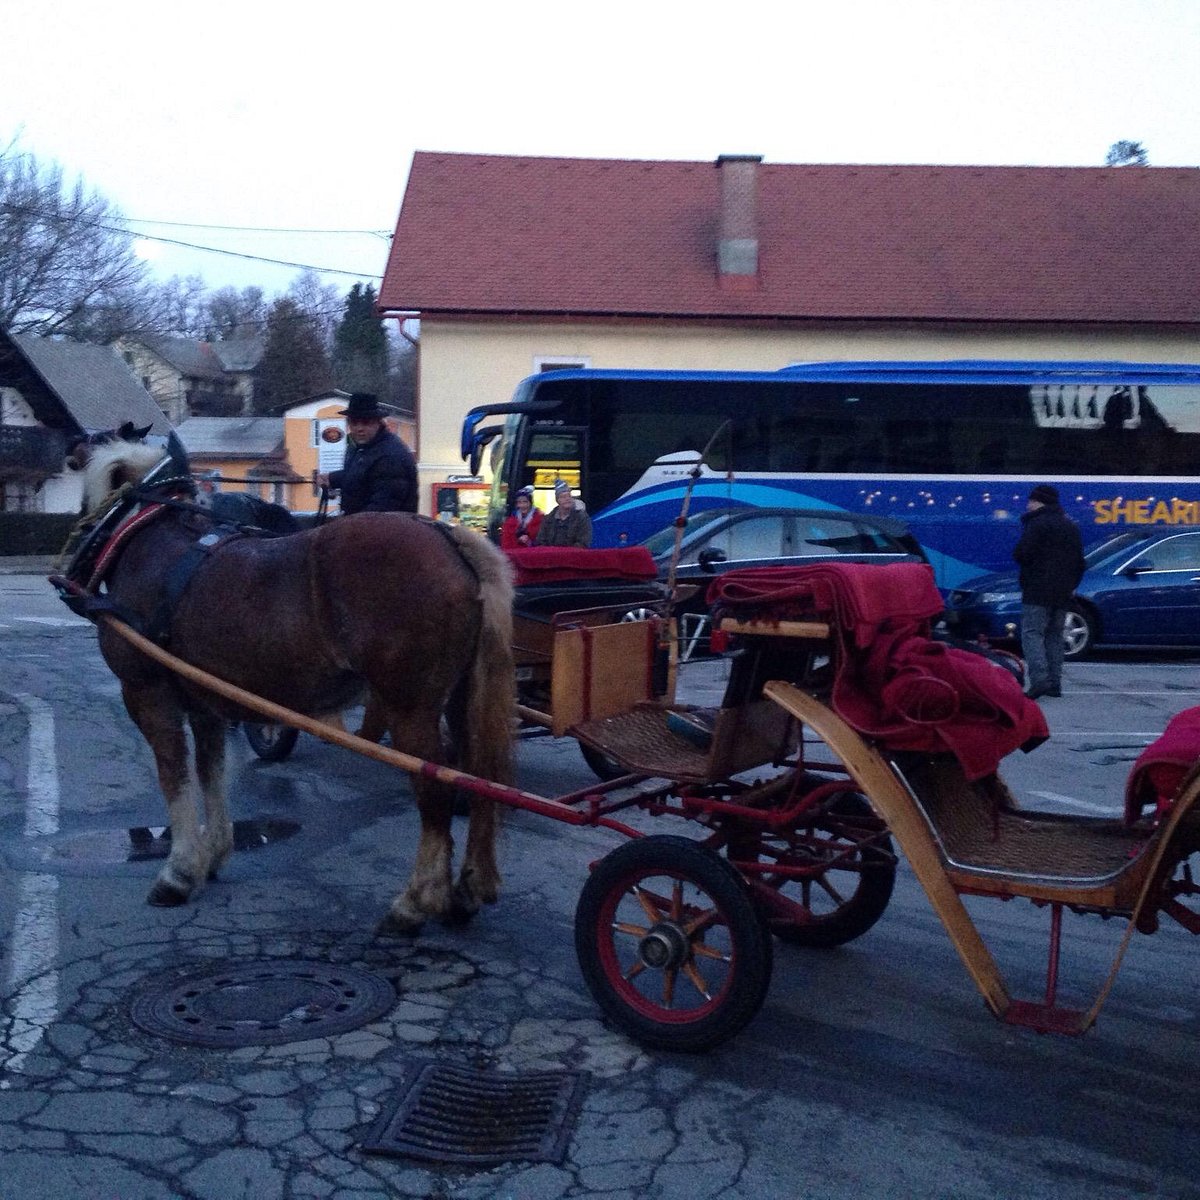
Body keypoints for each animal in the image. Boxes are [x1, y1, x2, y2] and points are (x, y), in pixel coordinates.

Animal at [69, 436, 511, 931]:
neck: (147, 540)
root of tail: (451, 538)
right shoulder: (206, 702)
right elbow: (210, 773)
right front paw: (212, 854)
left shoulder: (146, 693)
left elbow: (174, 776)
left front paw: (178, 873)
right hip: (460, 699)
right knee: (477, 780)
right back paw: (467, 891)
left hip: (410, 708)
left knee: (436, 790)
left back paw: (417, 900)